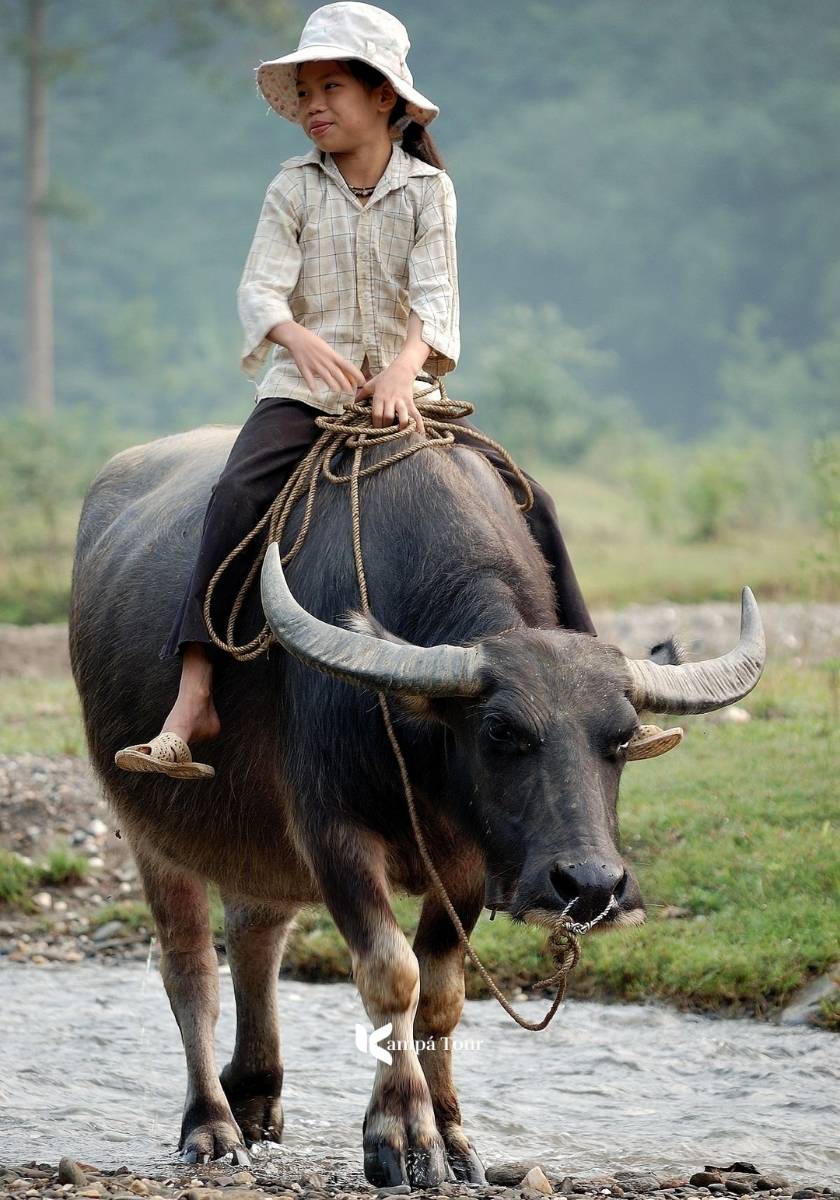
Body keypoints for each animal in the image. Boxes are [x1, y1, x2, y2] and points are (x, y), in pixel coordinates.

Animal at [69, 423, 764, 1188]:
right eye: (501, 732)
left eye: (621, 737)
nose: (590, 886)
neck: (415, 738)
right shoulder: (335, 836)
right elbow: (390, 973)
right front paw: (401, 1135)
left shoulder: (465, 862)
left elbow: (442, 994)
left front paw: (455, 1134)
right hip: (149, 825)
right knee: (190, 968)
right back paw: (213, 1125)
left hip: (255, 840)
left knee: (257, 934)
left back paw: (254, 1095)